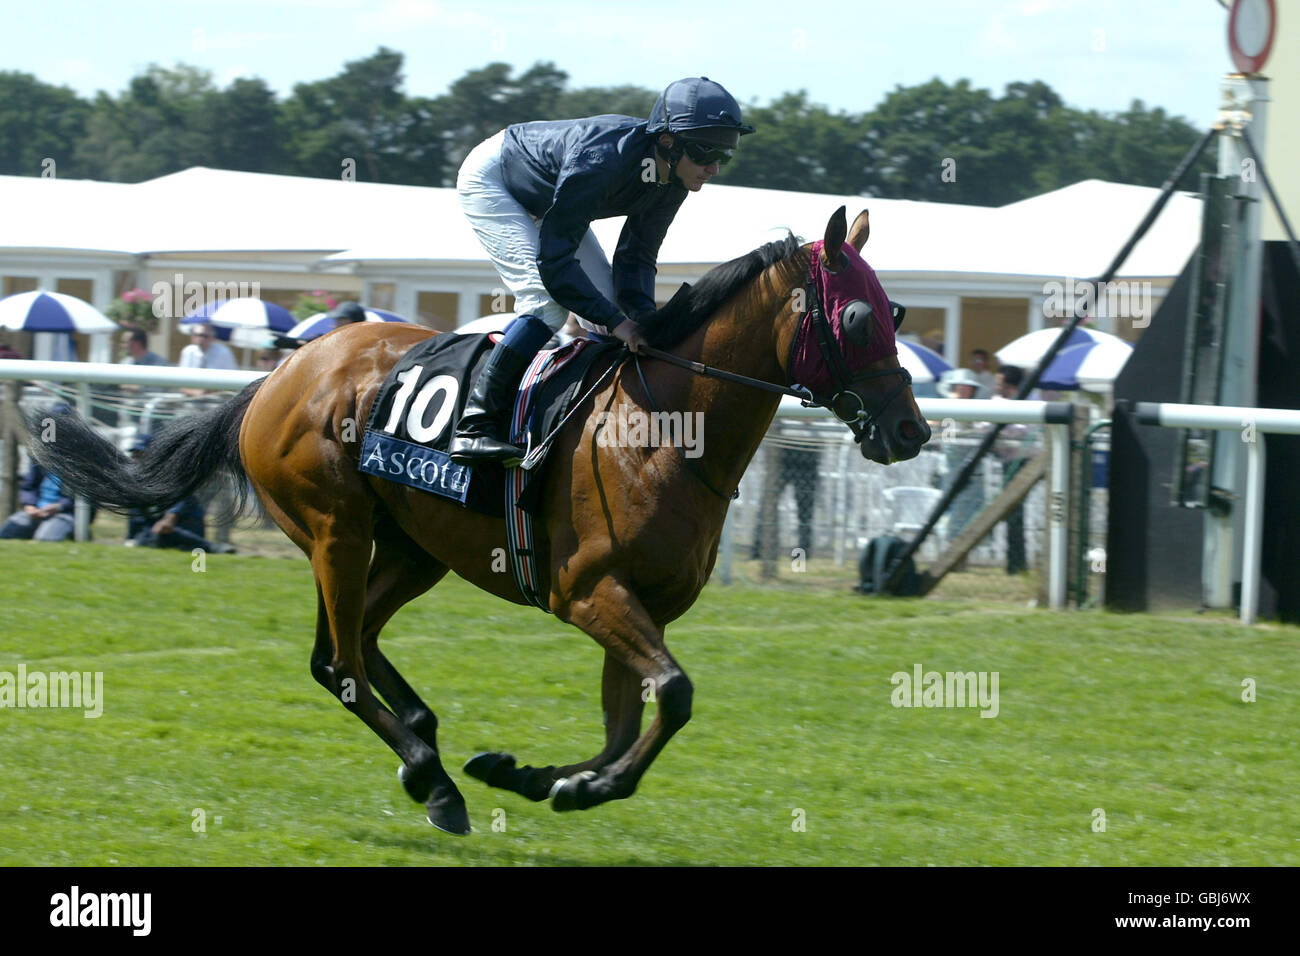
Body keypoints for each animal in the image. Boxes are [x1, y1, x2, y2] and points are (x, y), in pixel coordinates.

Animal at [27, 205, 925, 832]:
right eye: (855, 319)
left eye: (899, 315)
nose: (910, 431)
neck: (666, 429)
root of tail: (280, 373)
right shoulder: (590, 590)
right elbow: (673, 693)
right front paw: (575, 784)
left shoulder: (644, 604)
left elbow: (628, 716)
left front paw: (544, 777)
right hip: (336, 530)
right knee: (337, 662)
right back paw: (431, 778)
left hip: (413, 546)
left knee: (358, 643)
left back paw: (427, 745)